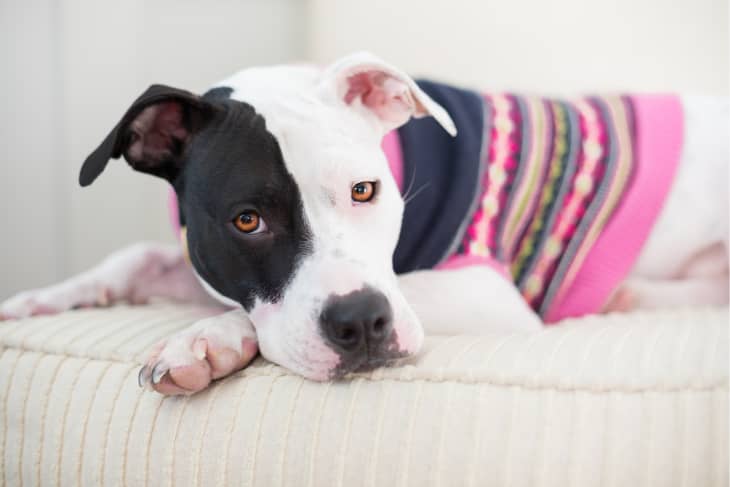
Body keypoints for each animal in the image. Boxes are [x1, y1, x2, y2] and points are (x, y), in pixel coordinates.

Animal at [2, 52, 724, 396]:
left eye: (364, 191)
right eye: (246, 220)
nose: (361, 325)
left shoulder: (488, 290)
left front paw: (205, 341)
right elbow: (137, 257)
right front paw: (46, 297)